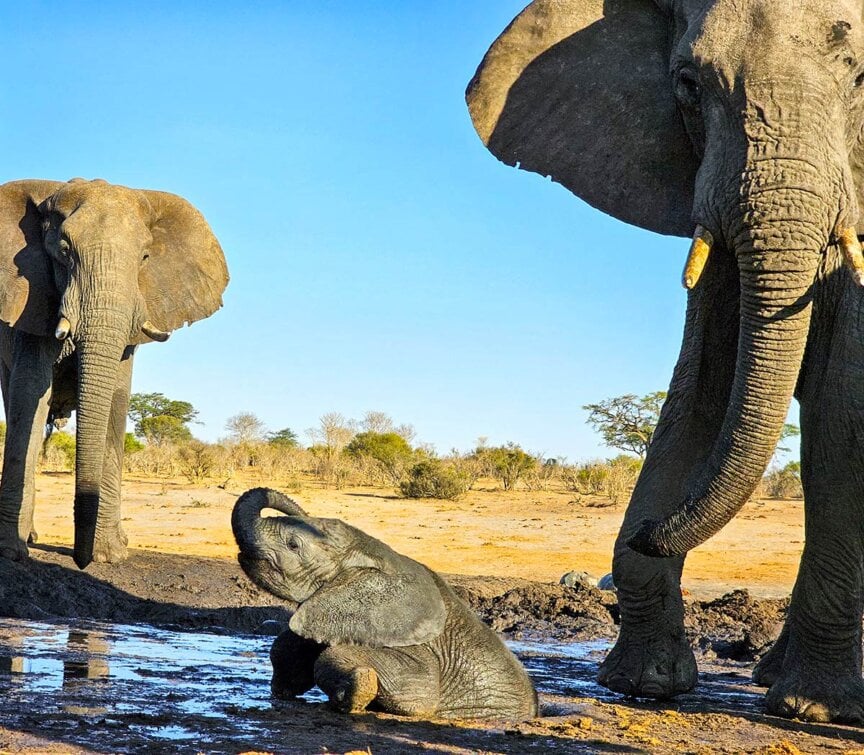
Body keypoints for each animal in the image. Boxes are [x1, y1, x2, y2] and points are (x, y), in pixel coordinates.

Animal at [0, 178, 228, 569]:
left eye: (145, 258)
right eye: (64, 252)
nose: (81, 561)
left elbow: (116, 401)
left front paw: (109, 554)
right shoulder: (31, 301)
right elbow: (30, 396)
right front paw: (10, 553)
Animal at [467, 0, 864, 724]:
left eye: (857, 78)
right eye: (688, 86)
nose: (648, 530)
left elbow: (839, 402)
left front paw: (815, 710)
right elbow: (703, 388)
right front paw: (642, 682)